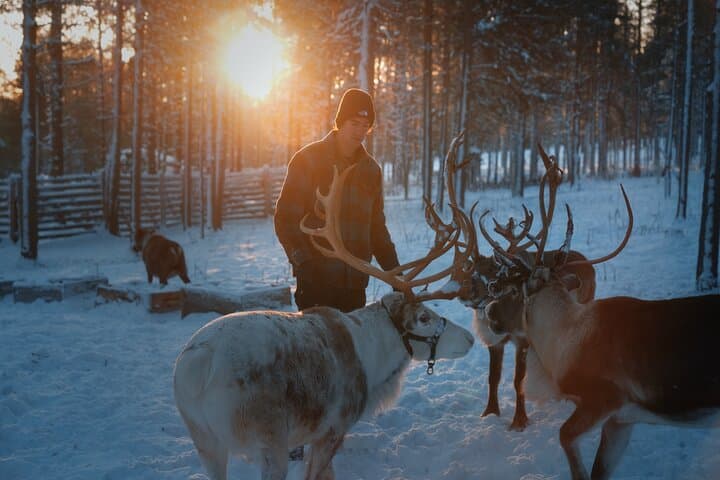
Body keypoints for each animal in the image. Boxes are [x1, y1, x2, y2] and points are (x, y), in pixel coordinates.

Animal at [173, 164, 477, 480]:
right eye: (423, 317)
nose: (470, 338)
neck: (375, 361)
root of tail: (198, 363)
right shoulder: (333, 427)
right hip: (269, 440)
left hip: (205, 441)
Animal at [441, 134, 596, 430]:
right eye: (470, 268)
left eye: (493, 271)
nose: (461, 291)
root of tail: (586, 262)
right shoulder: (496, 342)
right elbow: (493, 378)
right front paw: (490, 412)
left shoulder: (523, 339)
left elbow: (518, 381)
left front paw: (519, 420)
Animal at [484, 186, 720, 479]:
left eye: (515, 289)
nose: (489, 310)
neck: (565, 338)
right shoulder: (621, 420)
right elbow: (600, 470)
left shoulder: (604, 399)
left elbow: (566, 440)